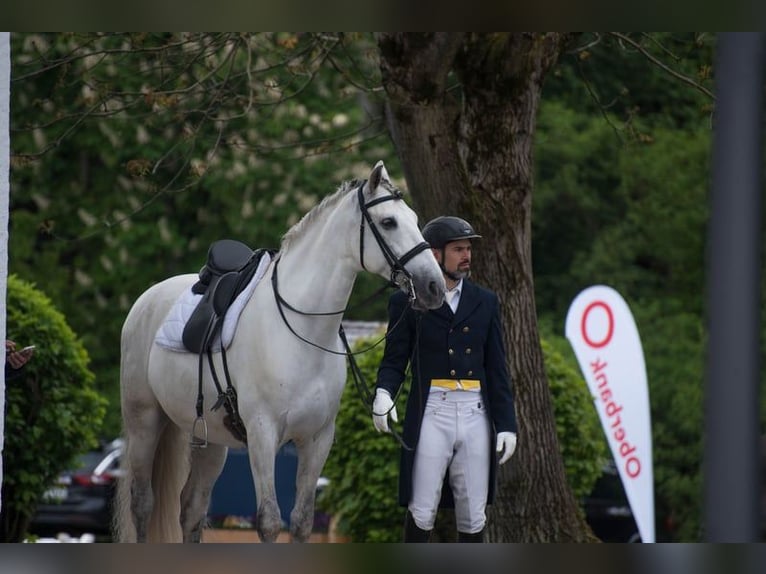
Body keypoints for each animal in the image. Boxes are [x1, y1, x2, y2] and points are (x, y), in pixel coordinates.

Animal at [116, 162, 448, 544]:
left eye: (414, 218)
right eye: (389, 222)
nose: (434, 287)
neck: (303, 333)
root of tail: (148, 297)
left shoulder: (318, 440)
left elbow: (301, 521)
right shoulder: (263, 434)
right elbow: (270, 521)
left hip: (210, 441)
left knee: (191, 509)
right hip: (145, 421)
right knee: (143, 503)